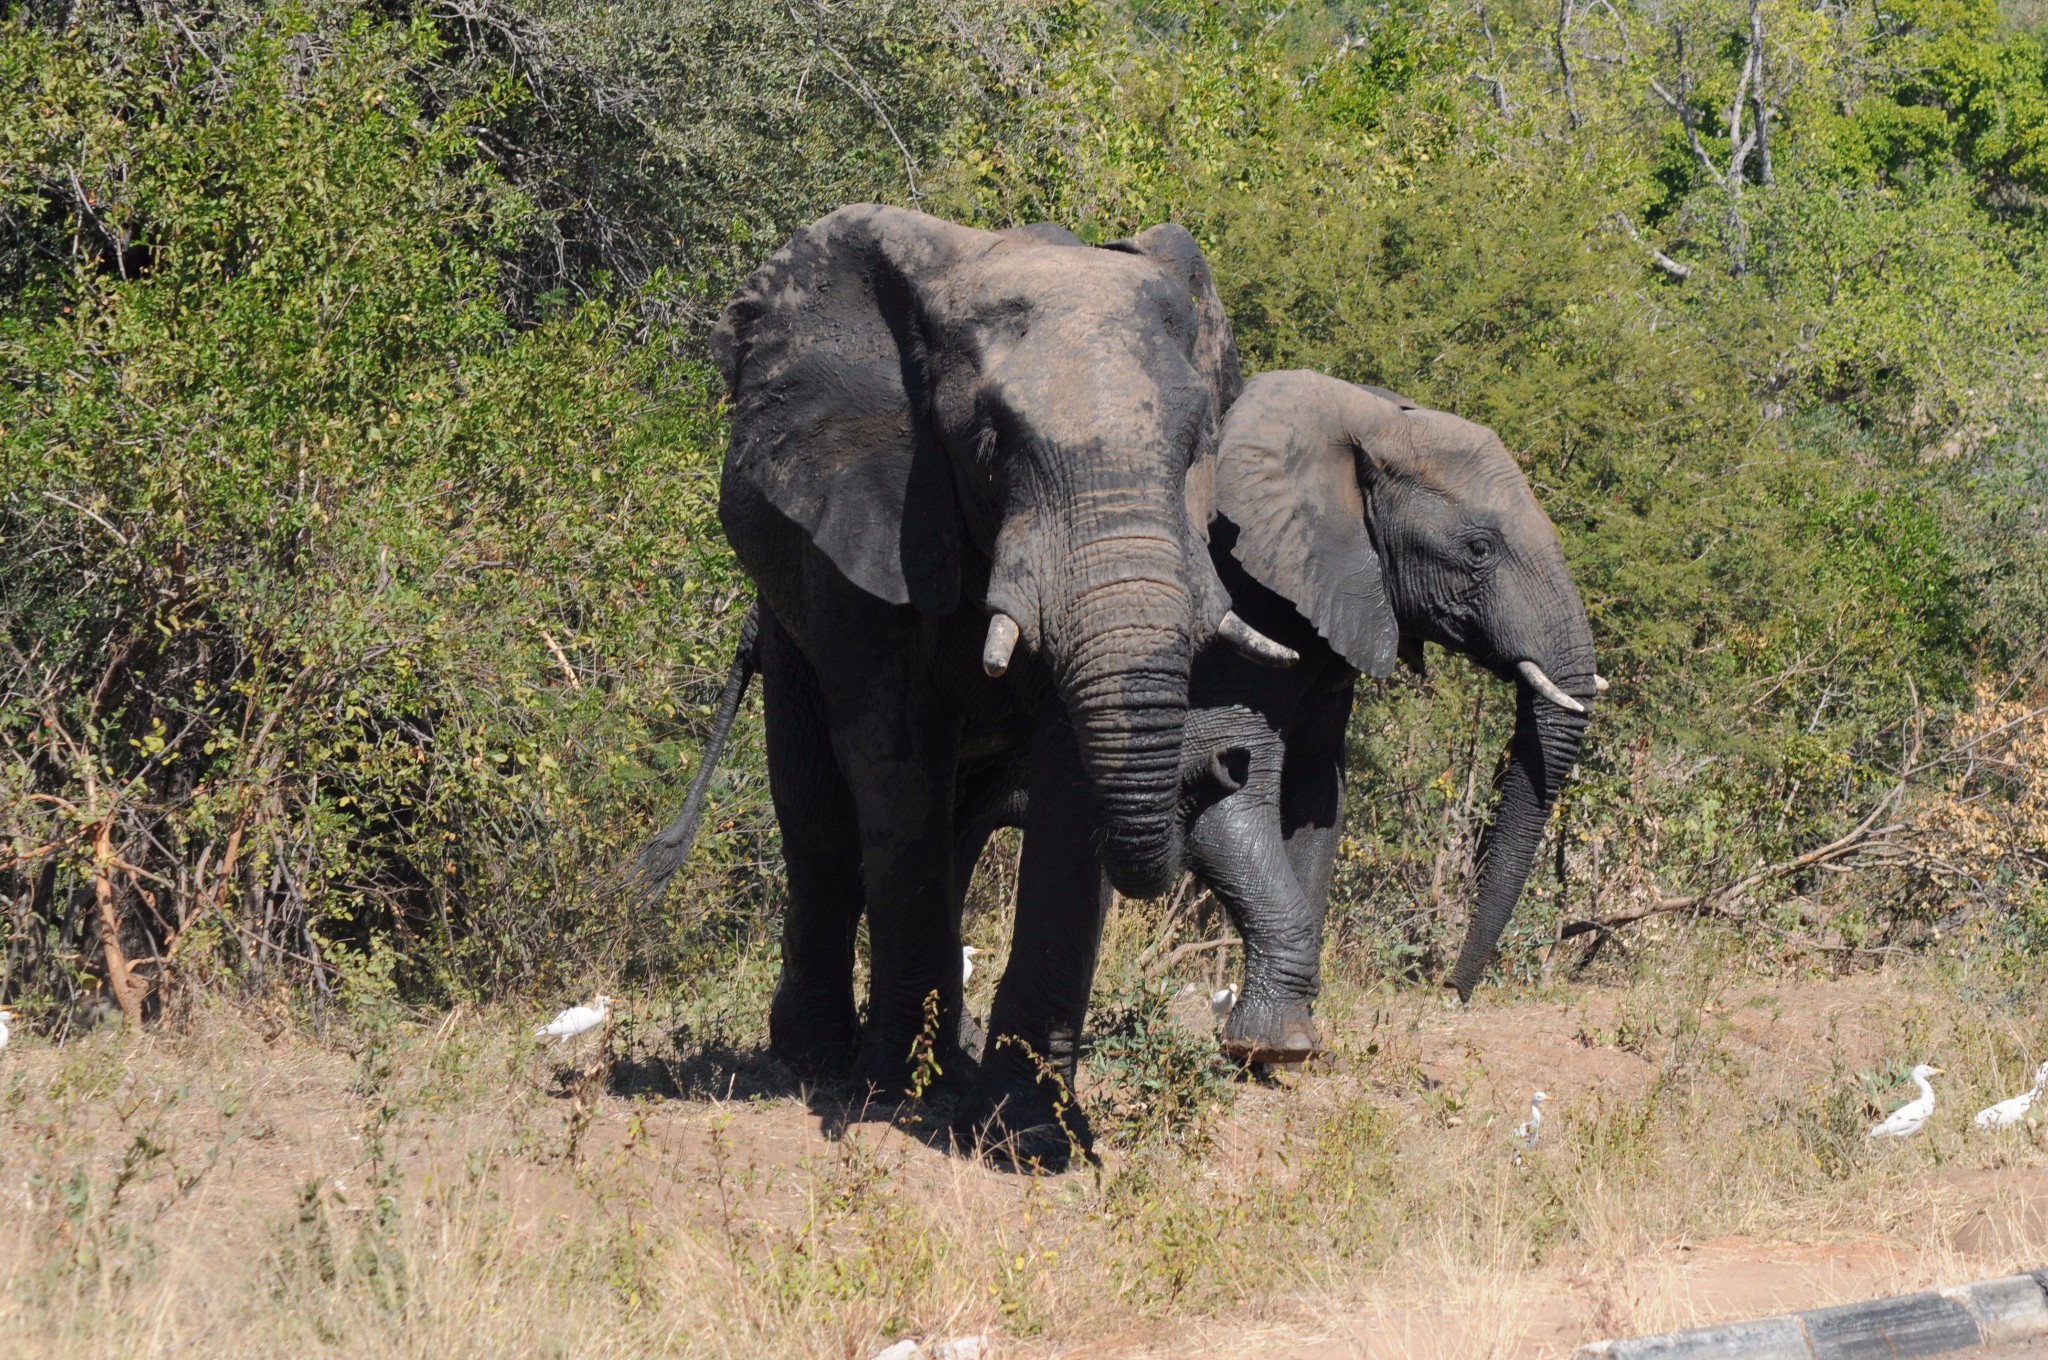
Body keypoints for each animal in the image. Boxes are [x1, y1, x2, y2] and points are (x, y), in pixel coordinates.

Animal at [647, 204, 1286, 1171]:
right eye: (992, 447)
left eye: (1196, 448)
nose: (1225, 766)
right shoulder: (870, 530)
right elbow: (894, 759)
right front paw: (897, 1096)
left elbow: (1068, 792)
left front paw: (1027, 1136)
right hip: (787, 617)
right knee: (820, 816)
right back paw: (821, 1059)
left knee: (952, 831)